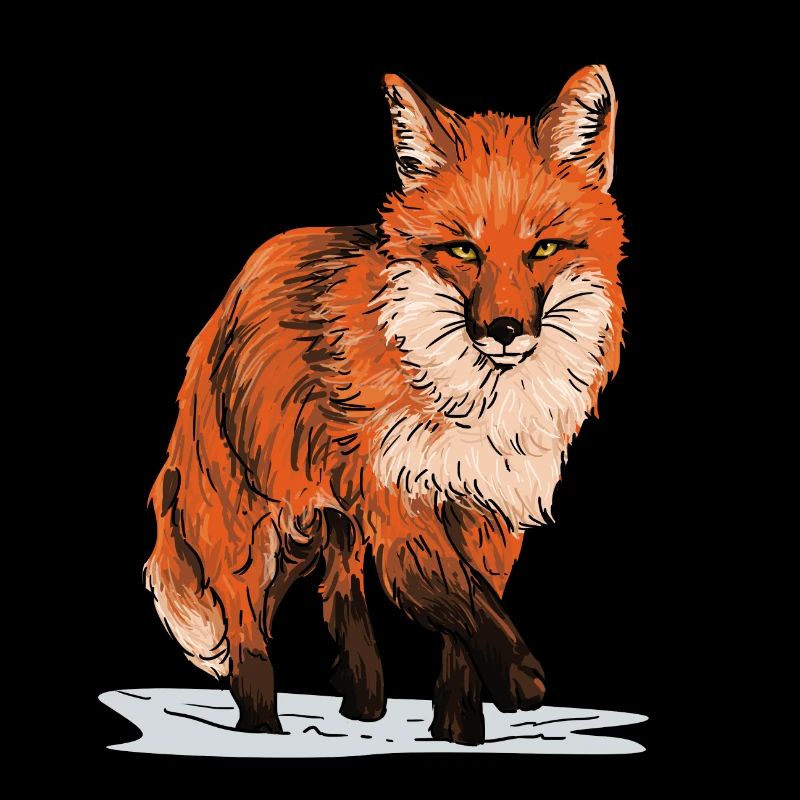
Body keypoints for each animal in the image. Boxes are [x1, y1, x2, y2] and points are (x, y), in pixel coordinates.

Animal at [146, 65, 625, 745]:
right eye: (463, 251)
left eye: (543, 249)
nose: (505, 330)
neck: (473, 409)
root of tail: (233, 288)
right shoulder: (401, 502)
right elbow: (465, 601)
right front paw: (522, 682)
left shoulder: (490, 513)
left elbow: (464, 639)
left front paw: (458, 734)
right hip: (255, 523)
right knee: (247, 629)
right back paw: (262, 728)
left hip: (324, 524)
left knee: (337, 594)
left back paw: (363, 703)